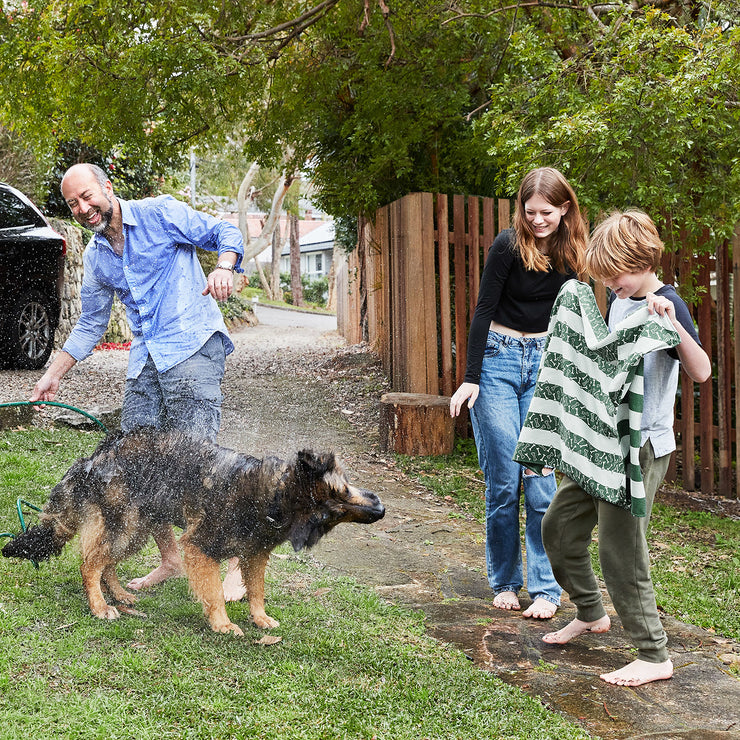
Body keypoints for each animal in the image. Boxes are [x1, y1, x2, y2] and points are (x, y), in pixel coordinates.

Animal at [4, 428, 388, 636]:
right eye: (341, 495)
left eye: (338, 508)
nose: (381, 510)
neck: (272, 497)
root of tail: (98, 454)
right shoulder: (199, 547)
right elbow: (214, 592)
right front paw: (222, 623)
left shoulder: (254, 554)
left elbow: (257, 591)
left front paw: (259, 617)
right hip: (125, 525)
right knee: (89, 564)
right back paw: (100, 606)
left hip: (134, 531)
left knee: (105, 563)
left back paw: (119, 595)